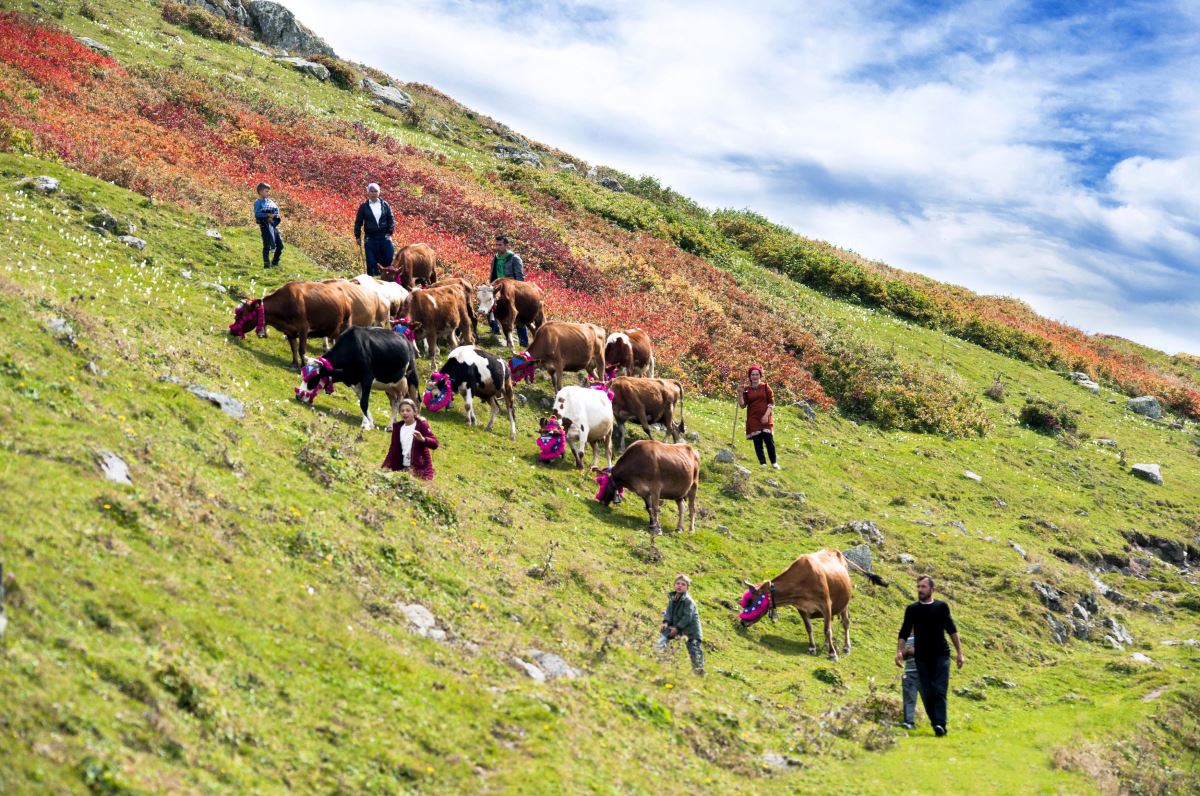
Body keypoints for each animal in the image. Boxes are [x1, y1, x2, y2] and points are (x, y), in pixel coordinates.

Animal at [228, 279, 384, 367]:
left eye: (241, 314)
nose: (232, 330)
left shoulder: (303, 328)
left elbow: (302, 349)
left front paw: (302, 366)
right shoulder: (290, 331)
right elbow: (293, 348)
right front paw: (294, 363)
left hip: (345, 325)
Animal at [292, 326, 420, 432]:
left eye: (313, 379)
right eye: (303, 375)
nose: (298, 396)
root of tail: (405, 338)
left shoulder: (367, 377)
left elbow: (363, 402)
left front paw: (368, 424)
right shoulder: (354, 381)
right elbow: (361, 400)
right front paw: (368, 421)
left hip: (411, 379)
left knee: (414, 401)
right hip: (391, 386)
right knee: (396, 402)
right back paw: (392, 424)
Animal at [734, 552, 888, 662]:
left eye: (751, 601)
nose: (743, 621)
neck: (802, 581)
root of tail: (837, 552)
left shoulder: (826, 604)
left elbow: (827, 630)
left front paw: (833, 654)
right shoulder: (801, 607)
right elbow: (809, 628)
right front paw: (812, 648)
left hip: (844, 603)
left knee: (845, 623)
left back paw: (846, 647)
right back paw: (826, 644)